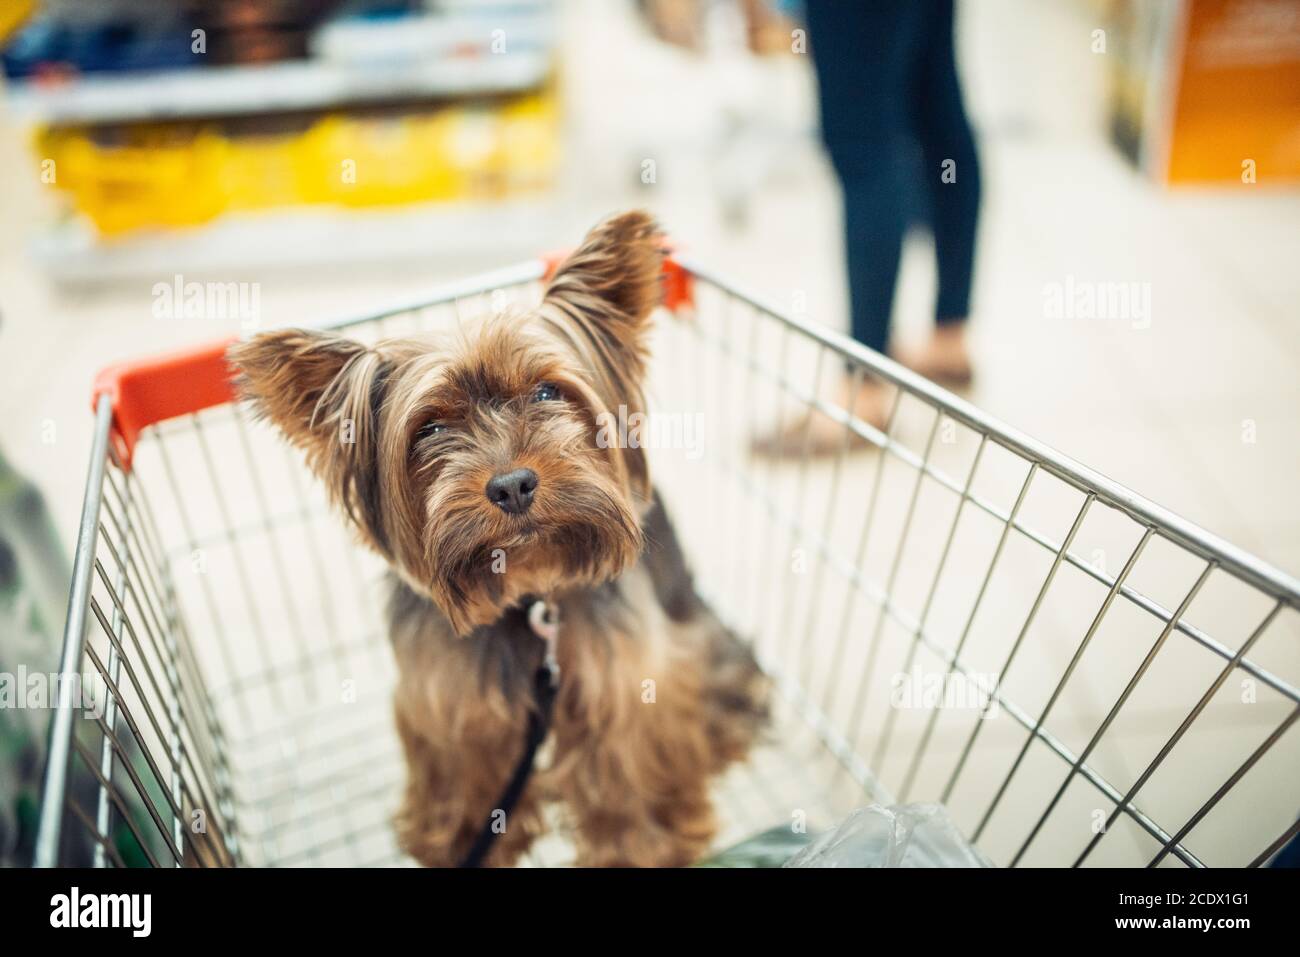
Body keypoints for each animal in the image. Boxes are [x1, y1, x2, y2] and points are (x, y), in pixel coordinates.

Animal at [228, 210, 764, 868]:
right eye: (430, 428)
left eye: (547, 392)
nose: (511, 485)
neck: (528, 592)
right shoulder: (446, 695)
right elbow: (463, 770)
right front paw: (463, 841)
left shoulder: (627, 682)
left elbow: (626, 769)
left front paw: (641, 844)